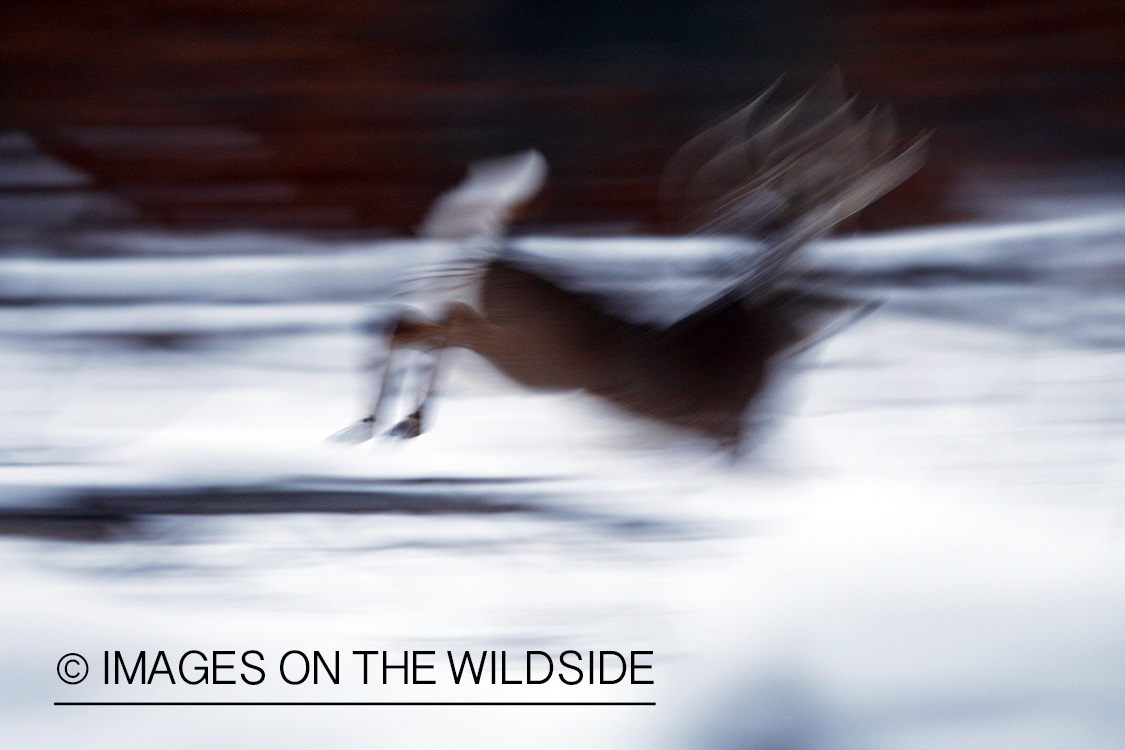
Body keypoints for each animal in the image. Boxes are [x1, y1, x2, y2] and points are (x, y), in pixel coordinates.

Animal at [328, 75, 927, 449]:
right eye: (812, 285)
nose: (867, 303)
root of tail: (480, 254)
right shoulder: (721, 425)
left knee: (405, 323)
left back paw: (388, 421)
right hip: (519, 348)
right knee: (428, 327)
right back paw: (391, 420)